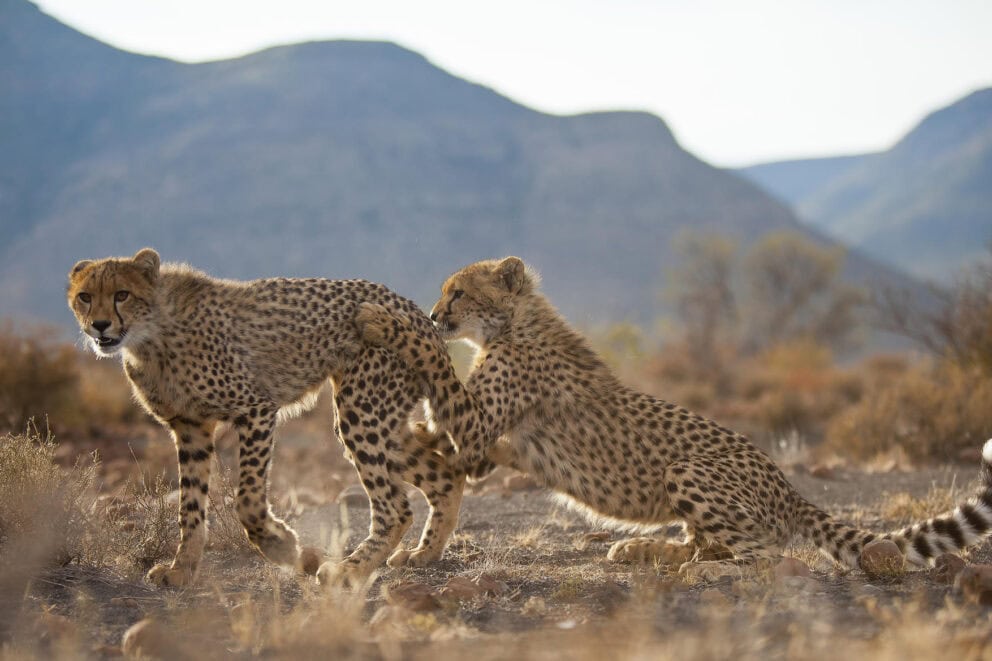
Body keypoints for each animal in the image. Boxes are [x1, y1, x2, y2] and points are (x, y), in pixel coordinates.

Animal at [67, 248, 466, 587]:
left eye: (122, 294)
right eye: (85, 296)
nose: (100, 325)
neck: (150, 336)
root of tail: (416, 310)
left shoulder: (255, 409)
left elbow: (247, 500)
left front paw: (284, 547)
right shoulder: (190, 429)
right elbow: (190, 508)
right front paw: (182, 570)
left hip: (362, 410)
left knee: (396, 507)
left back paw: (349, 569)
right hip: (380, 419)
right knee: (445, 476)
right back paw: (424, 553)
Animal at [355, 256, 992, 578]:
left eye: (459, 292)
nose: (435, 313)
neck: (513, 323)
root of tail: (787, 486)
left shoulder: (479, 425)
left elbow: (438, 371)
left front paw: (384, 323)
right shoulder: (484, 446)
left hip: (689, 471)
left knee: (763, 553)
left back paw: (703, 571)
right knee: (709, 542)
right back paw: (645, 550)